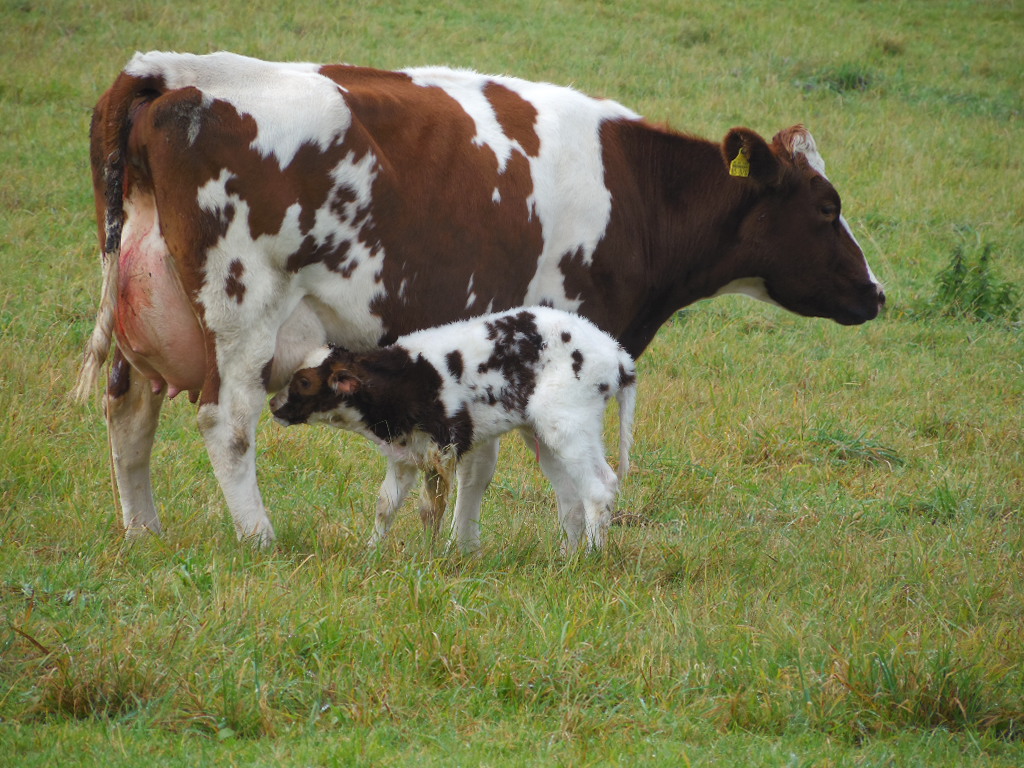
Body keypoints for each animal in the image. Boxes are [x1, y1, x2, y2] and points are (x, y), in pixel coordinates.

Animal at [270, 307, 638, 552]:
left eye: (304, 382)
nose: (274, 405)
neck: (401, 383)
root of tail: (618, 355)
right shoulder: (404, 456)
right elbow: (386, 505)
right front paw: (371, 552)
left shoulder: (441, 450)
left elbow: (430, 510)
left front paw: (427, 556)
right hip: (543, 434)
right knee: (571, 497)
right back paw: (565, 557)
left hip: (570, 424)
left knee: (600, 488)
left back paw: (589, 558)